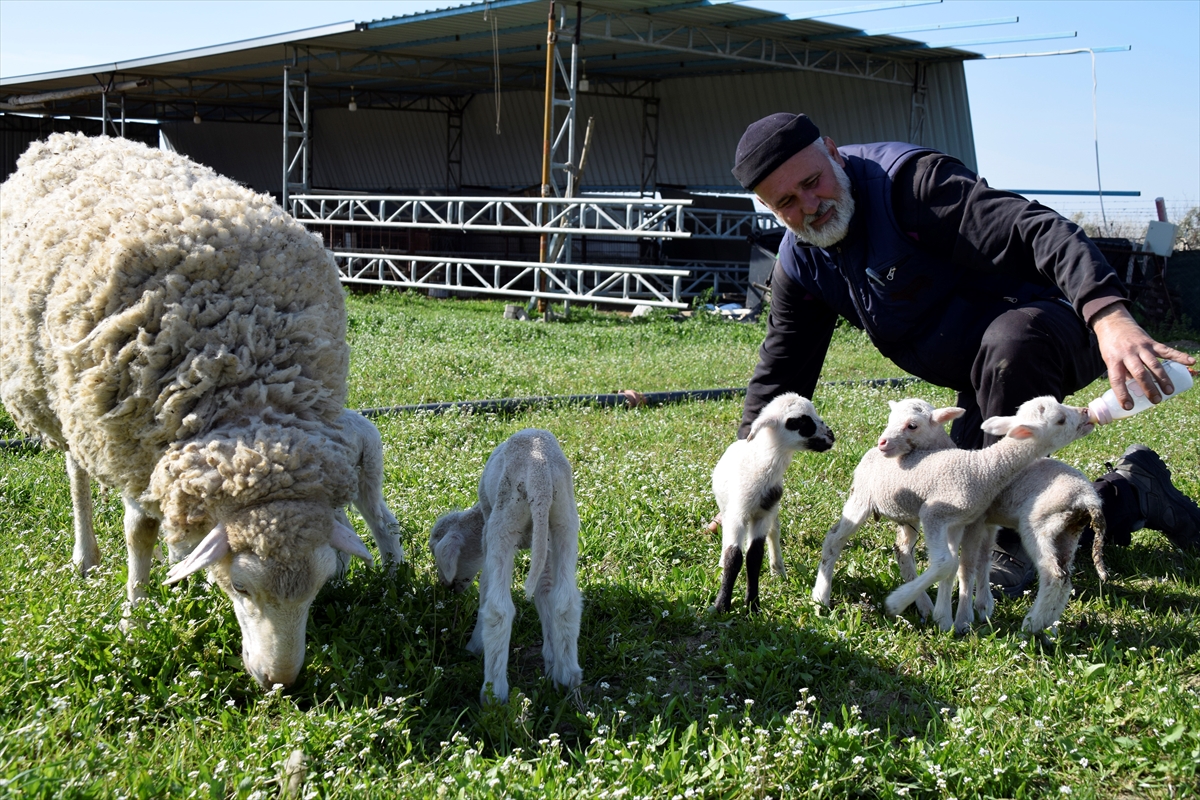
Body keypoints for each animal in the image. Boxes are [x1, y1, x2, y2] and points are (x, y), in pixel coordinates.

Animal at [0, 136, 403, 690]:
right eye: (242, 587)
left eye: (318, 588)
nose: (279, 682)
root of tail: (66, 139)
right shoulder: (130, 438)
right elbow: (139, 532)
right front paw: (135, 615)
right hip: (67, 404)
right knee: (76, 473)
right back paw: (87, 558)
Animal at [432, 429, 580, 705]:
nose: (446, 587)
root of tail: (540, 477)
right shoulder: (543, 542)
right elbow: (545, 591)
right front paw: (552, 664)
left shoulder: (487, 526)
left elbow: (486, 584)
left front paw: (474, 646)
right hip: (564, 519)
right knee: (566, 602)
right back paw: (568, 680)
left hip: (505, 520)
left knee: (498, 610)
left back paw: (493, 694)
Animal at [710, 393, 835, 614]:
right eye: (799, 421)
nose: (831, 437)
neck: (759, 466)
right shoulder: (737, 515)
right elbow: (734, 557)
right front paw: (721, 605)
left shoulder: (763, 514)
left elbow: (754, 556)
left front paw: (753, 605)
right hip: (726, 508)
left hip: (772, 511)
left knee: (774, 533)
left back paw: (778, 569)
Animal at [806, 398, 964, 618]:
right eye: (889, 420)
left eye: (912, 425)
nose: (882, 442)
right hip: (861, 498)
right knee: (833, 539)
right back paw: (821, 596)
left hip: (907, 516)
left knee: (902, 550)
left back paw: (923, 605)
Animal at [883, 398, 1099, 628]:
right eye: (1061, 420)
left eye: (912, 425)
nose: (1086, 411)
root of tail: (1087, 497)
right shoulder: (986, 522)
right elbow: (980, 560)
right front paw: (977, 609)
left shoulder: (976, 521)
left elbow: (969, 563)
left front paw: (964, 617)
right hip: (1065, 532)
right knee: (1064, 578)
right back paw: (1046, 626)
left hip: (1043, 526)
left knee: (1054, 575)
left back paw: (1033, 626)